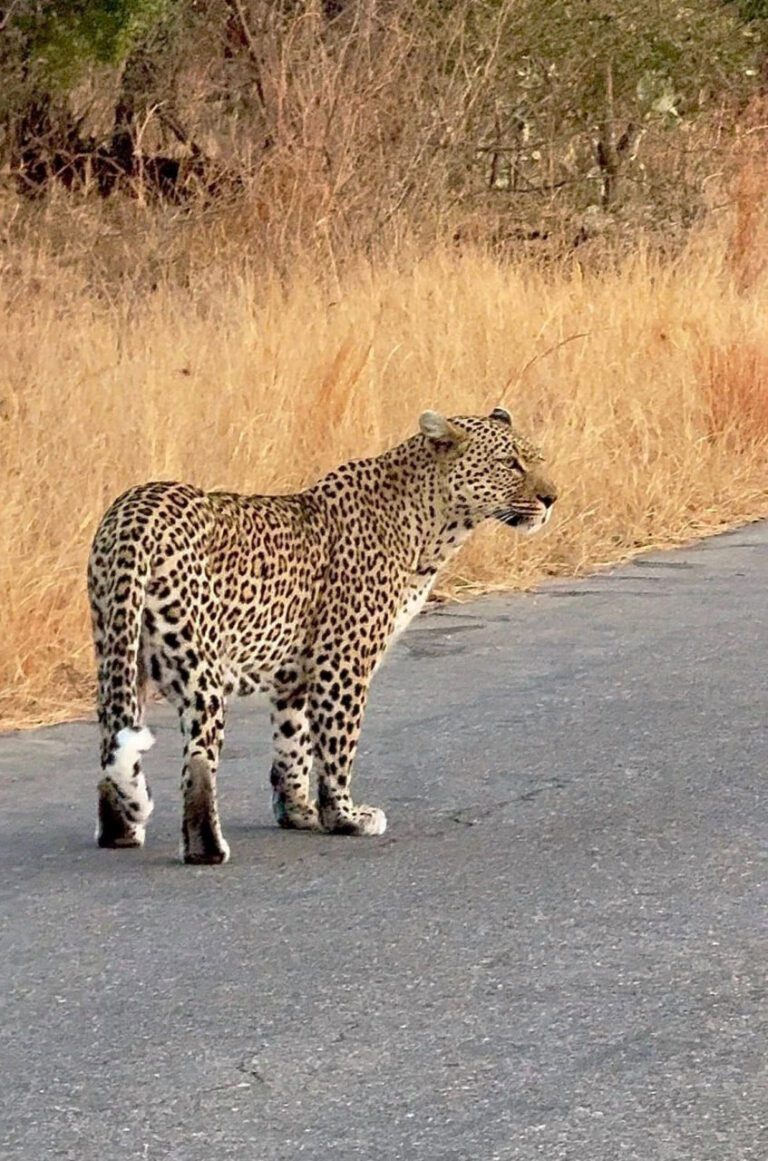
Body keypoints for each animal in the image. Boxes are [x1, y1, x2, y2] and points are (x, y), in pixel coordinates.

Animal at [88, 407, 557, 865]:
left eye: (538, 459)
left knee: (113, 742)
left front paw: (299, 813)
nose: (551, 498)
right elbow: (337, 745)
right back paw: (207, 849)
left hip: (118, 652)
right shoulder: (343, 663)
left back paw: (120, 832)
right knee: (198, 760)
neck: (434, 523)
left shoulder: (294, 675)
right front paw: (346, 817)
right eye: (510, 464)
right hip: (198, 667)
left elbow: (293, 746)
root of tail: (136, 510)